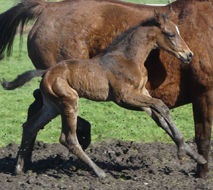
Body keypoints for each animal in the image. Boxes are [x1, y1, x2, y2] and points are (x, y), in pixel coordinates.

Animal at [0, 0, 213, 178]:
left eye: (178, 31)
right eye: (171, 34)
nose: (189, 55)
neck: (128, 57)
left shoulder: (141, 93)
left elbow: (161, 115)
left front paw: (193, 155)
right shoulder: (125, 97)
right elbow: (164, 109)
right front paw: (188, 157)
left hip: (52, 106)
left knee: (31, 125)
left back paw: (19, 167)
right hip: (69, 102)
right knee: (67, 138)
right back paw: (98, 171)